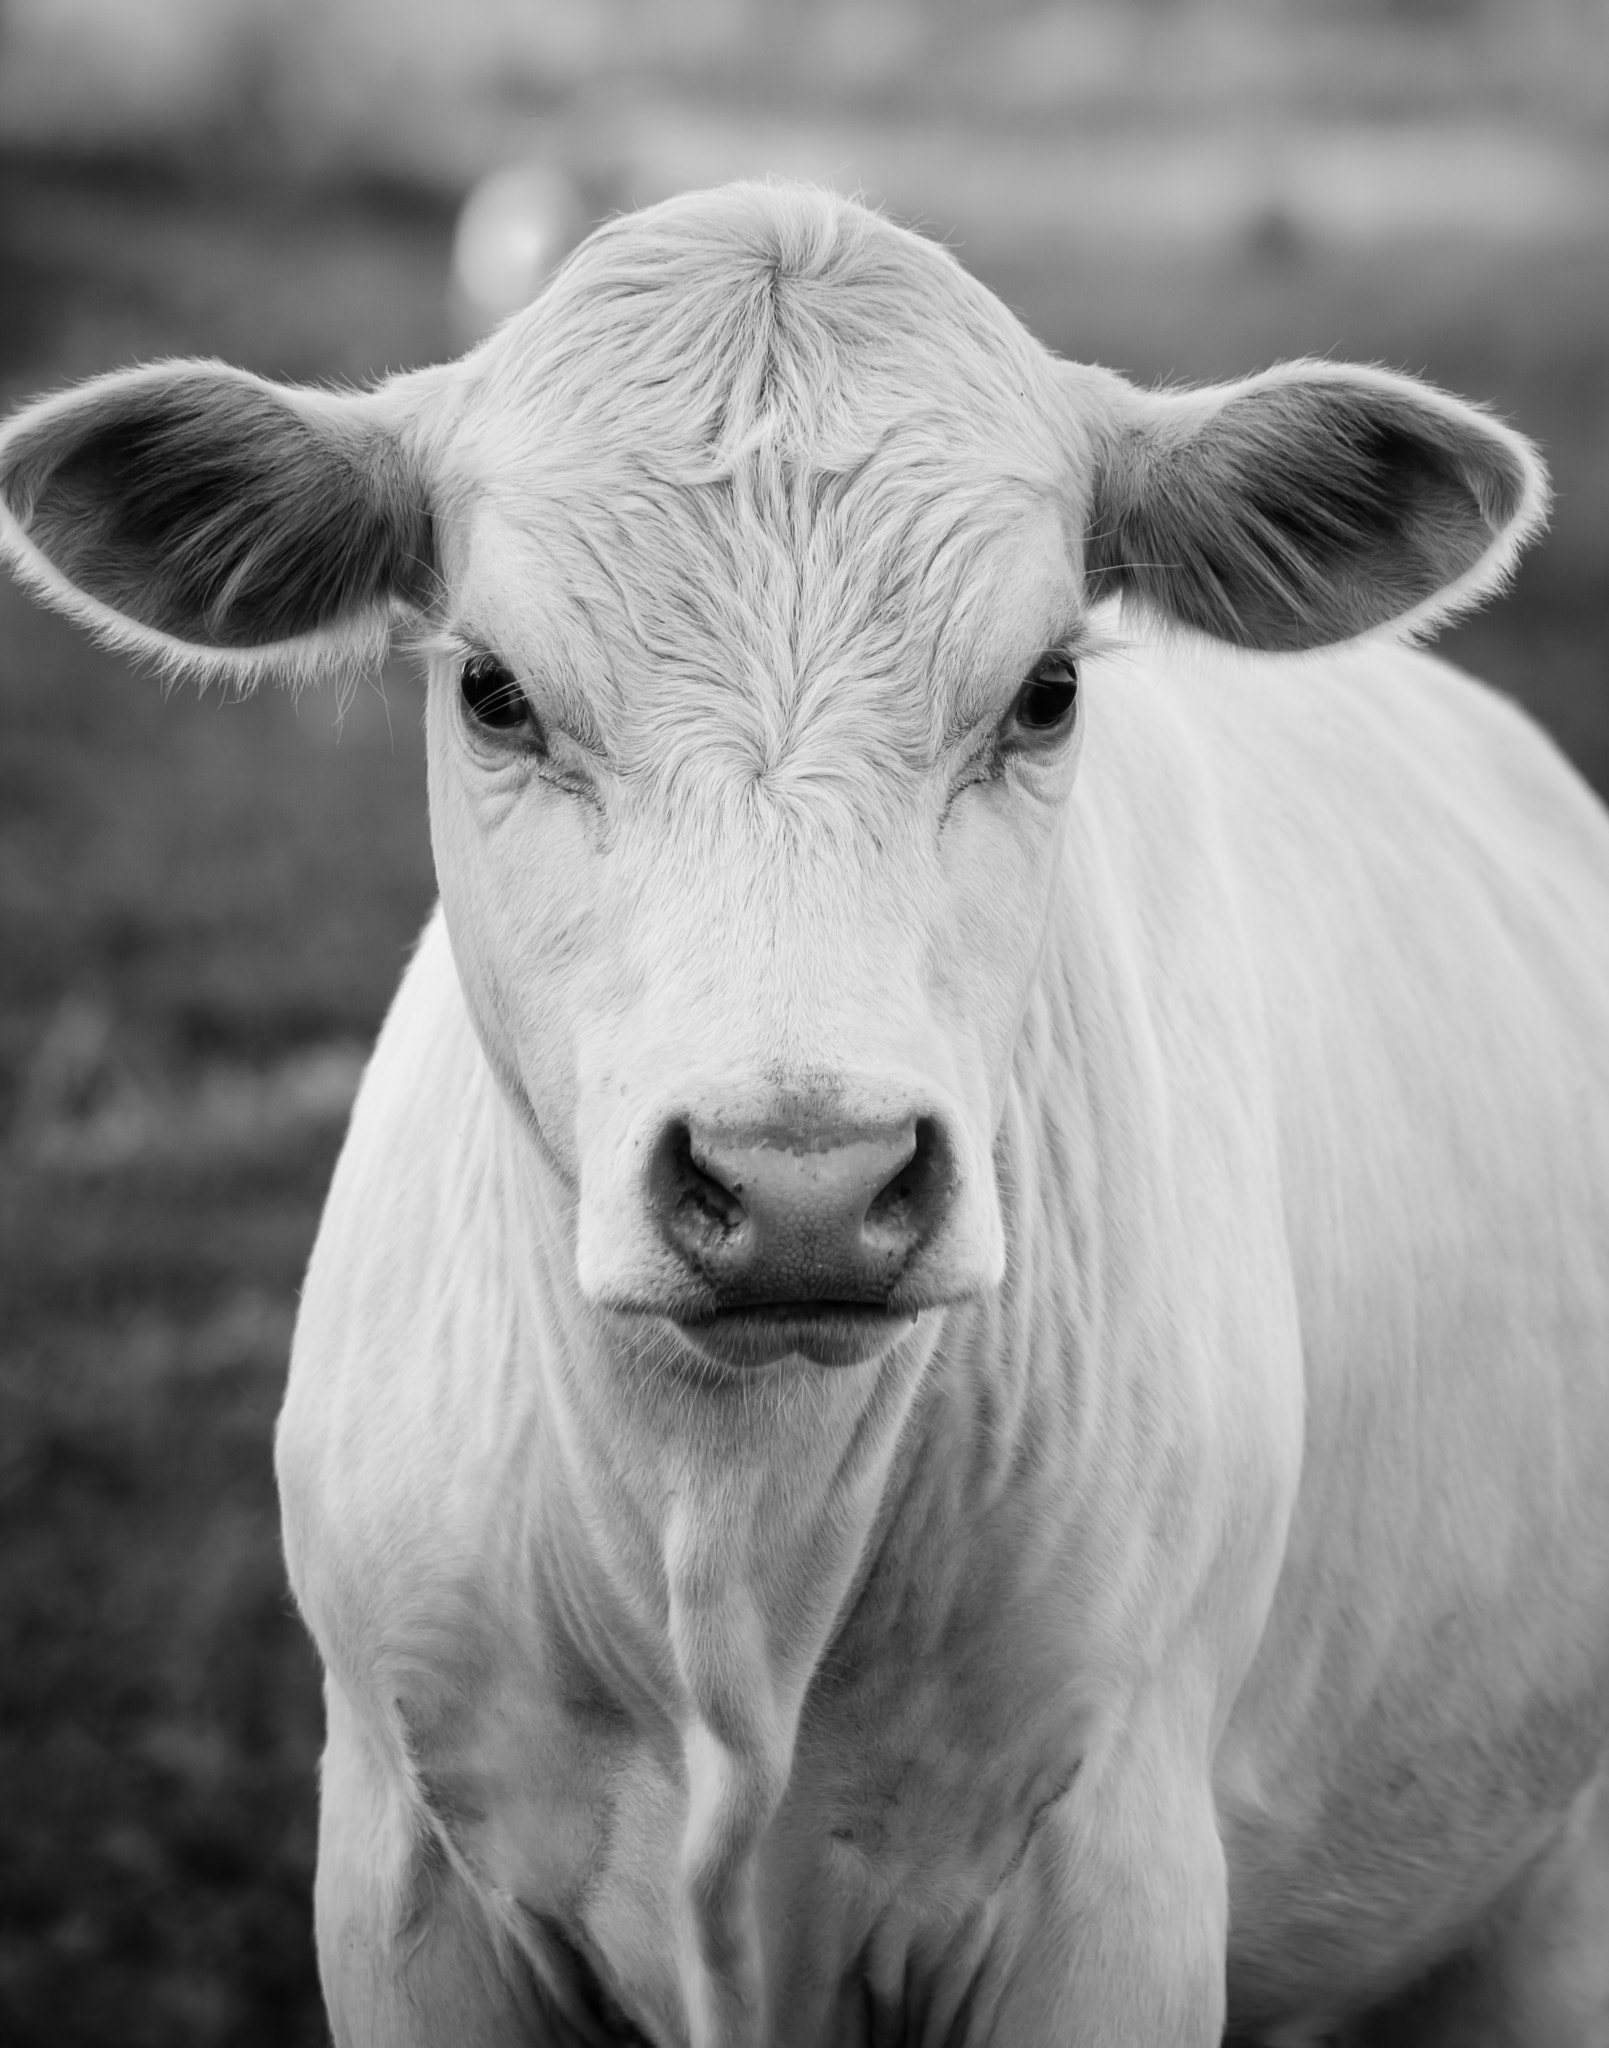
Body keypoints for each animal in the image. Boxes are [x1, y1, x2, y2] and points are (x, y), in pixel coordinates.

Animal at [3, 181, 1608, 2048]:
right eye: (491, 690)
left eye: (1047, 687)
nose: (801, 1185)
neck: (729, 1547)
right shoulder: (402, 1872)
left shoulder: (1110, 1887)